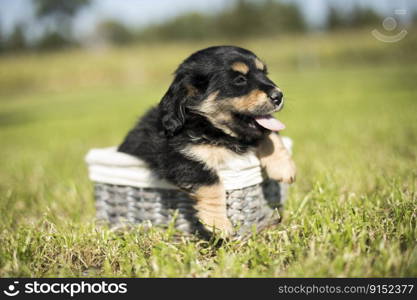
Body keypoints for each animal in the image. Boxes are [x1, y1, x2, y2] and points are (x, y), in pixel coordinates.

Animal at [118, 46, 296, 234]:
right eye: (239, 79)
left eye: (264, 73)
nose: (279, 96)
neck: (209, 126)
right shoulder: (174, 156)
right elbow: (211, 182)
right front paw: (218, 224)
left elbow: (270, 134)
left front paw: (284, 167)